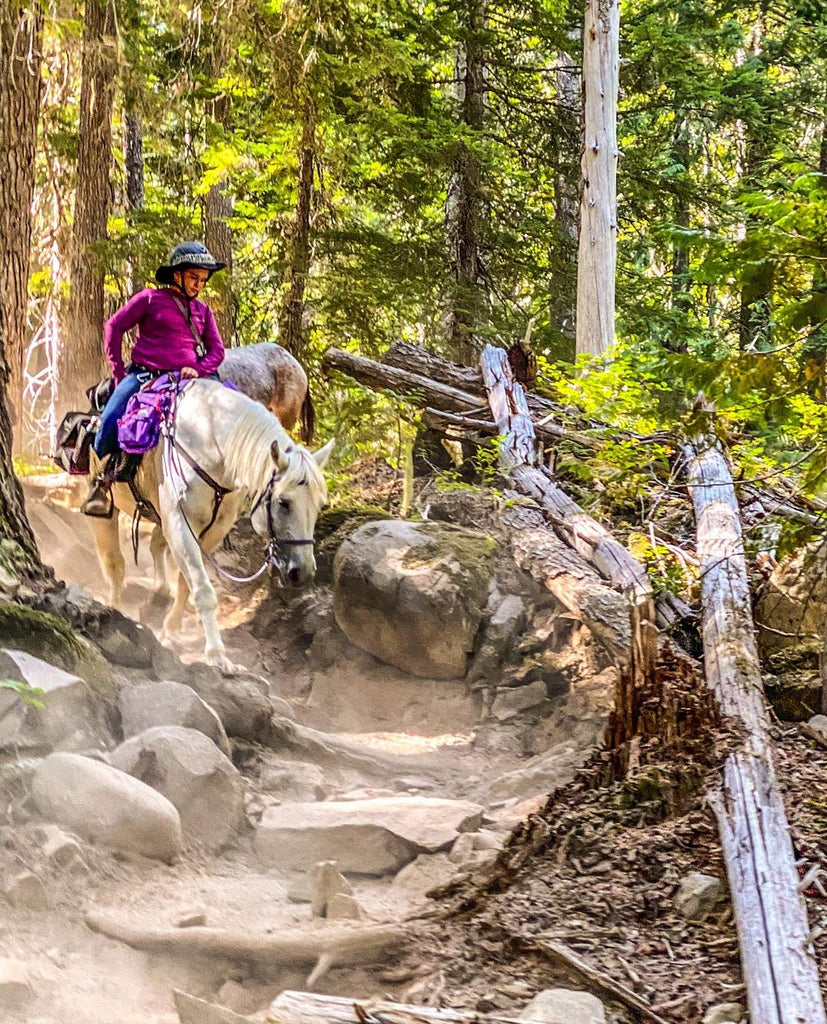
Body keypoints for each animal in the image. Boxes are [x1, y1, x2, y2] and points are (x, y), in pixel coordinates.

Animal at [89, 376, 333, 671]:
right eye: (283, 502)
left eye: (320, 506)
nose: (304, 573)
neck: (209, 443)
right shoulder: (180, 523)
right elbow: (203, 589)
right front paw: (217, 655)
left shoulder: (213, 529)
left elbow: (186, 582)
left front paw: (171, 630)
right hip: (107, 504)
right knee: (114, 562)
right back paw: (115, 607)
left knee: (156, 546)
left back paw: (158, 595)